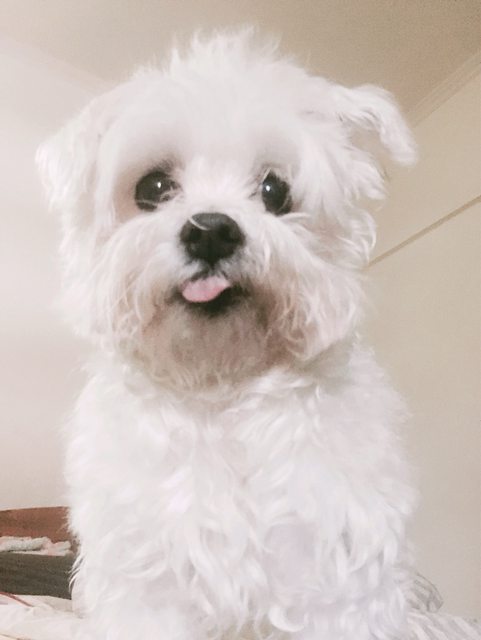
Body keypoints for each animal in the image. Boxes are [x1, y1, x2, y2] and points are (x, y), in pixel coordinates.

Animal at [38, 30, 417, 640]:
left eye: (275, 191)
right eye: (153, 187)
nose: (212, 231)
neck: (220, 388)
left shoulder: (333, 579)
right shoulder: (149, 581)